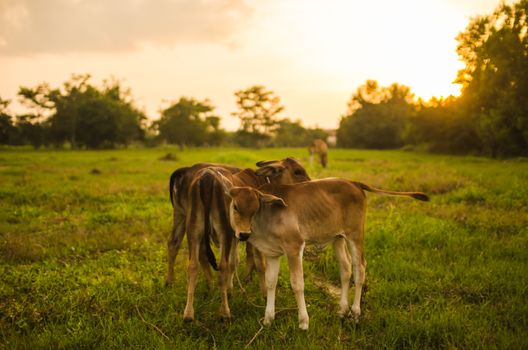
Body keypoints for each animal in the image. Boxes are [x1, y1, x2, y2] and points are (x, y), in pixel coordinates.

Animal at [207, 174, 428, 330]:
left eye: (255, 208)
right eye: (235, 207)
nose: (244, 234)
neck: (266, 219)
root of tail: (353, 182)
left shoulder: (294, 247)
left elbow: (297, 284)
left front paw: (304, 322)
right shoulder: (272, 253)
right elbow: (270, 283)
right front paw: (268, 318)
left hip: (355, 235)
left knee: (359, 268)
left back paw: (355, 313)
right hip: (338, 238)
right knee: (345, 269)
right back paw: (342, 310)